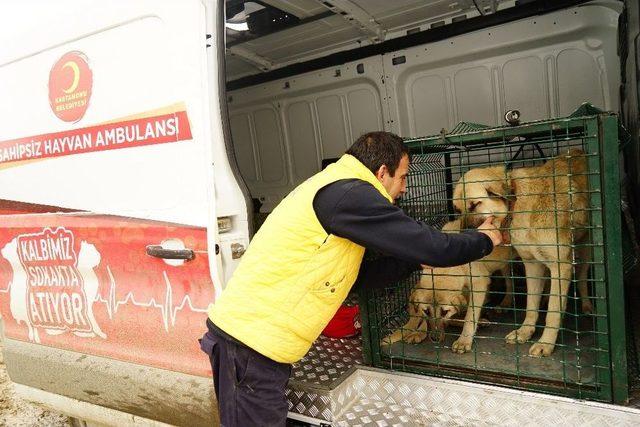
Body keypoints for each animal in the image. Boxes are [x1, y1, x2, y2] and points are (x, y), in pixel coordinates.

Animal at [452, 149, 592, 356]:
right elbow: (531, 305)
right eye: (458, 210)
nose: (462, 235)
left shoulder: (560, 266)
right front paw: (525, 331)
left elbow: (553, 311)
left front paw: (545, 343)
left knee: (582, 278)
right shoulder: (532, 264)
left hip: (586, 248)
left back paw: (587, 305)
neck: (517, 205)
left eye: (474, 205)